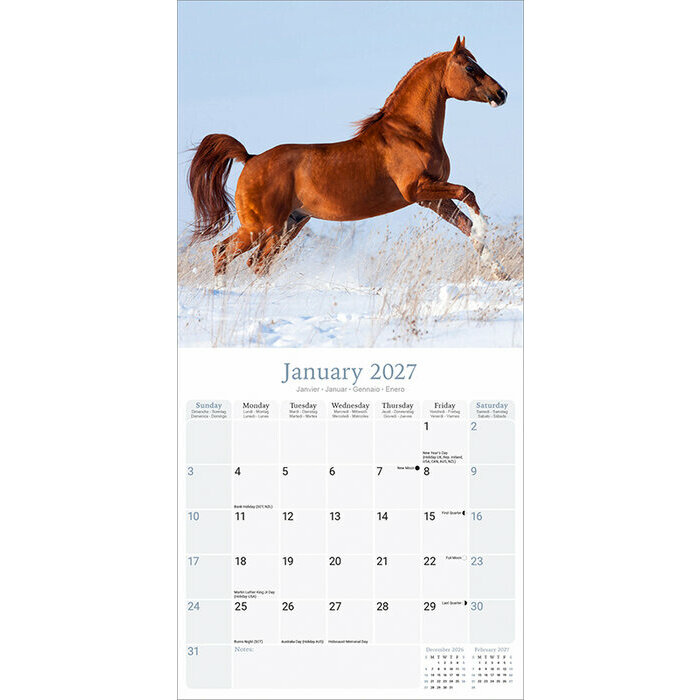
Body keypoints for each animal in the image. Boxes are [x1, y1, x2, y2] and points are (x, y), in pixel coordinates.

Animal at [188, 36, 509, 277]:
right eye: (470, 67)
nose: (501, 93)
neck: (411, 132)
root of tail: (250, 158)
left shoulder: (431, 199)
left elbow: (465, 224)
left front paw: (500, 271)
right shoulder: (417, 189)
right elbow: (468, 193)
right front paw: (485, 229)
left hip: (288, 225)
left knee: (256, 263)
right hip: (261, 227)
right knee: (223, 252)